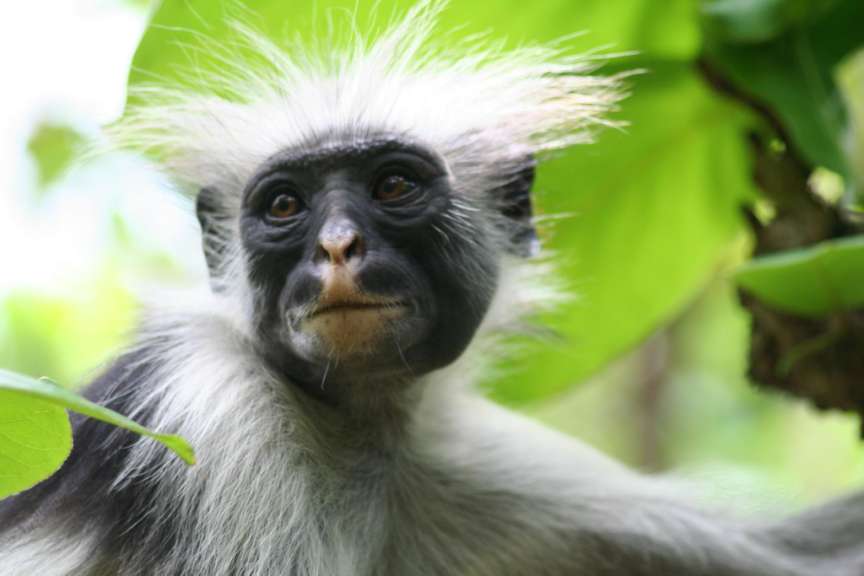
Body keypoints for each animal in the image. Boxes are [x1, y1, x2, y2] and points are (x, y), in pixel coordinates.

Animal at [2, 2, 864, 575]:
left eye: (392, 186)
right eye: (284, 206)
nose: (337, 245)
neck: (359, 433)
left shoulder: (472, 468)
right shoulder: (206, 416)